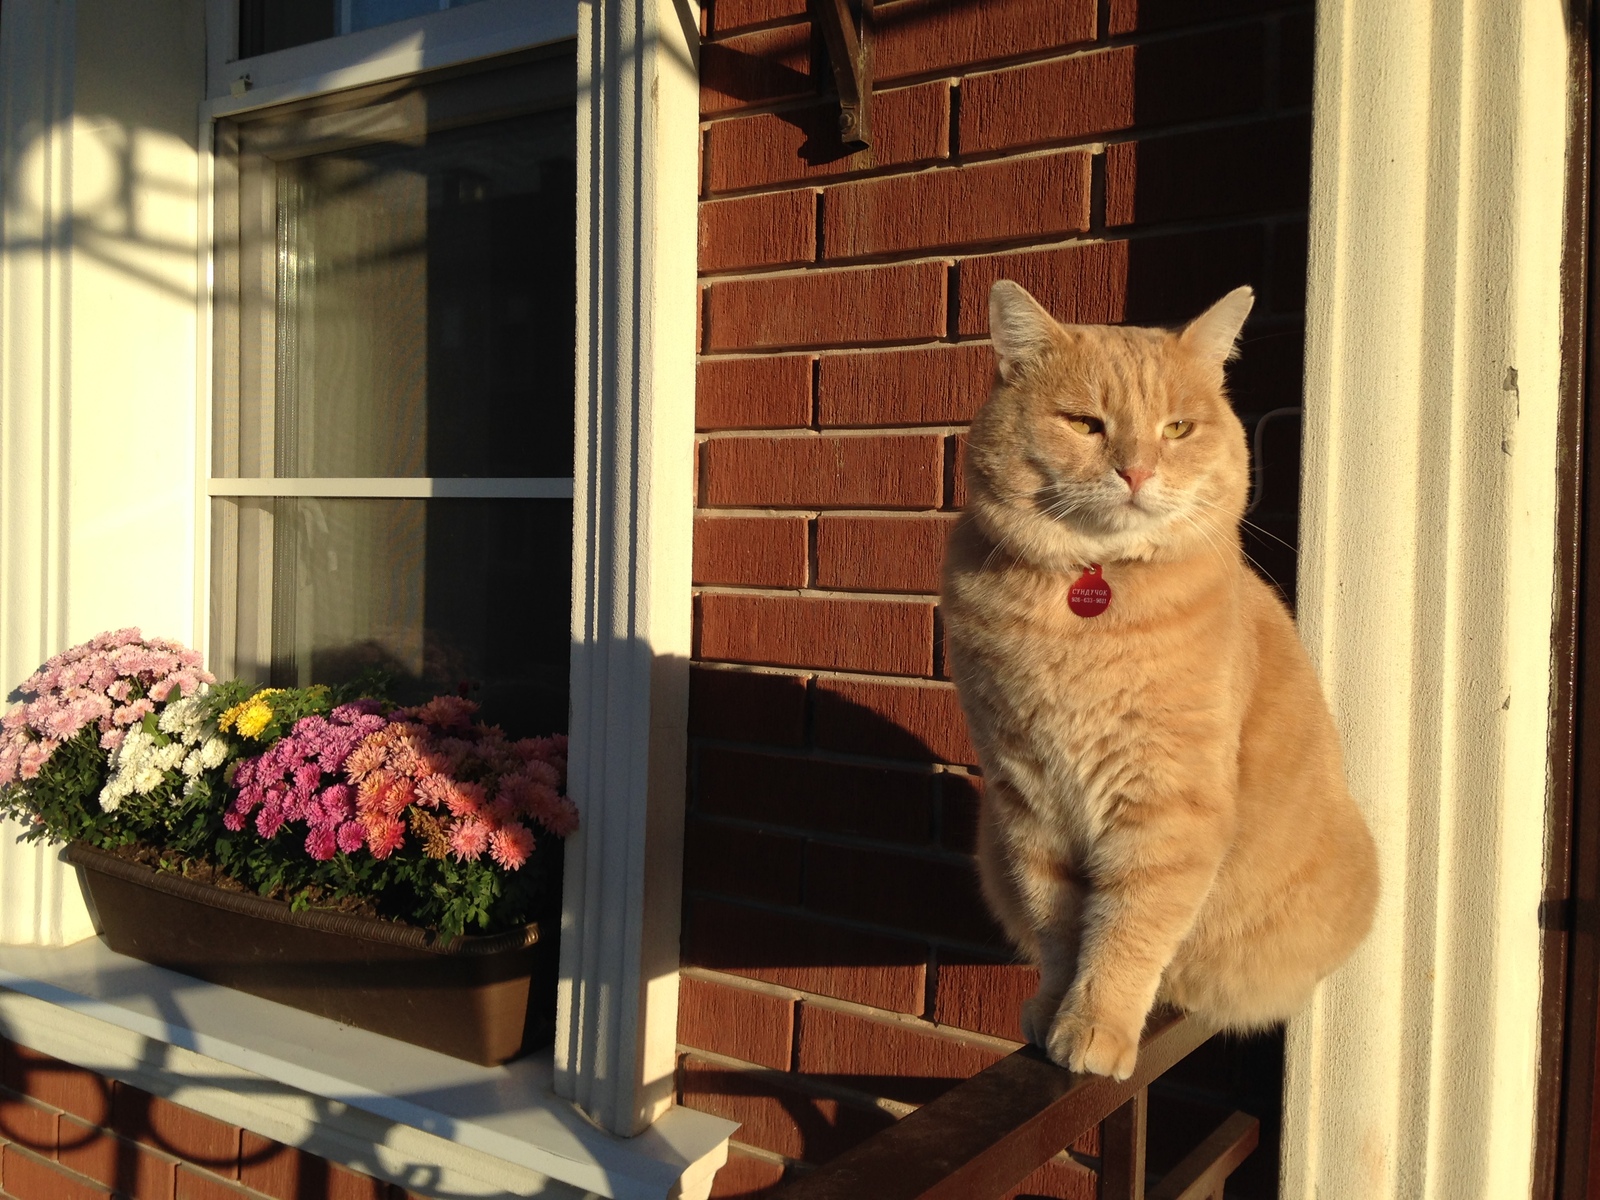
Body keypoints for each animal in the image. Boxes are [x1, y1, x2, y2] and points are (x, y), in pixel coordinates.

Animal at [940, 281, 1382, 1081]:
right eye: (1084, 423)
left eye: (1177, 428)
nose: (1137, 471)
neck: (1090, 598)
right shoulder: (1028, 798)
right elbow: (1058, 924)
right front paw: (1055, 1009)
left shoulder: (1167, 804)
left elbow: (1129, 926)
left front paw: (1095, 1024)